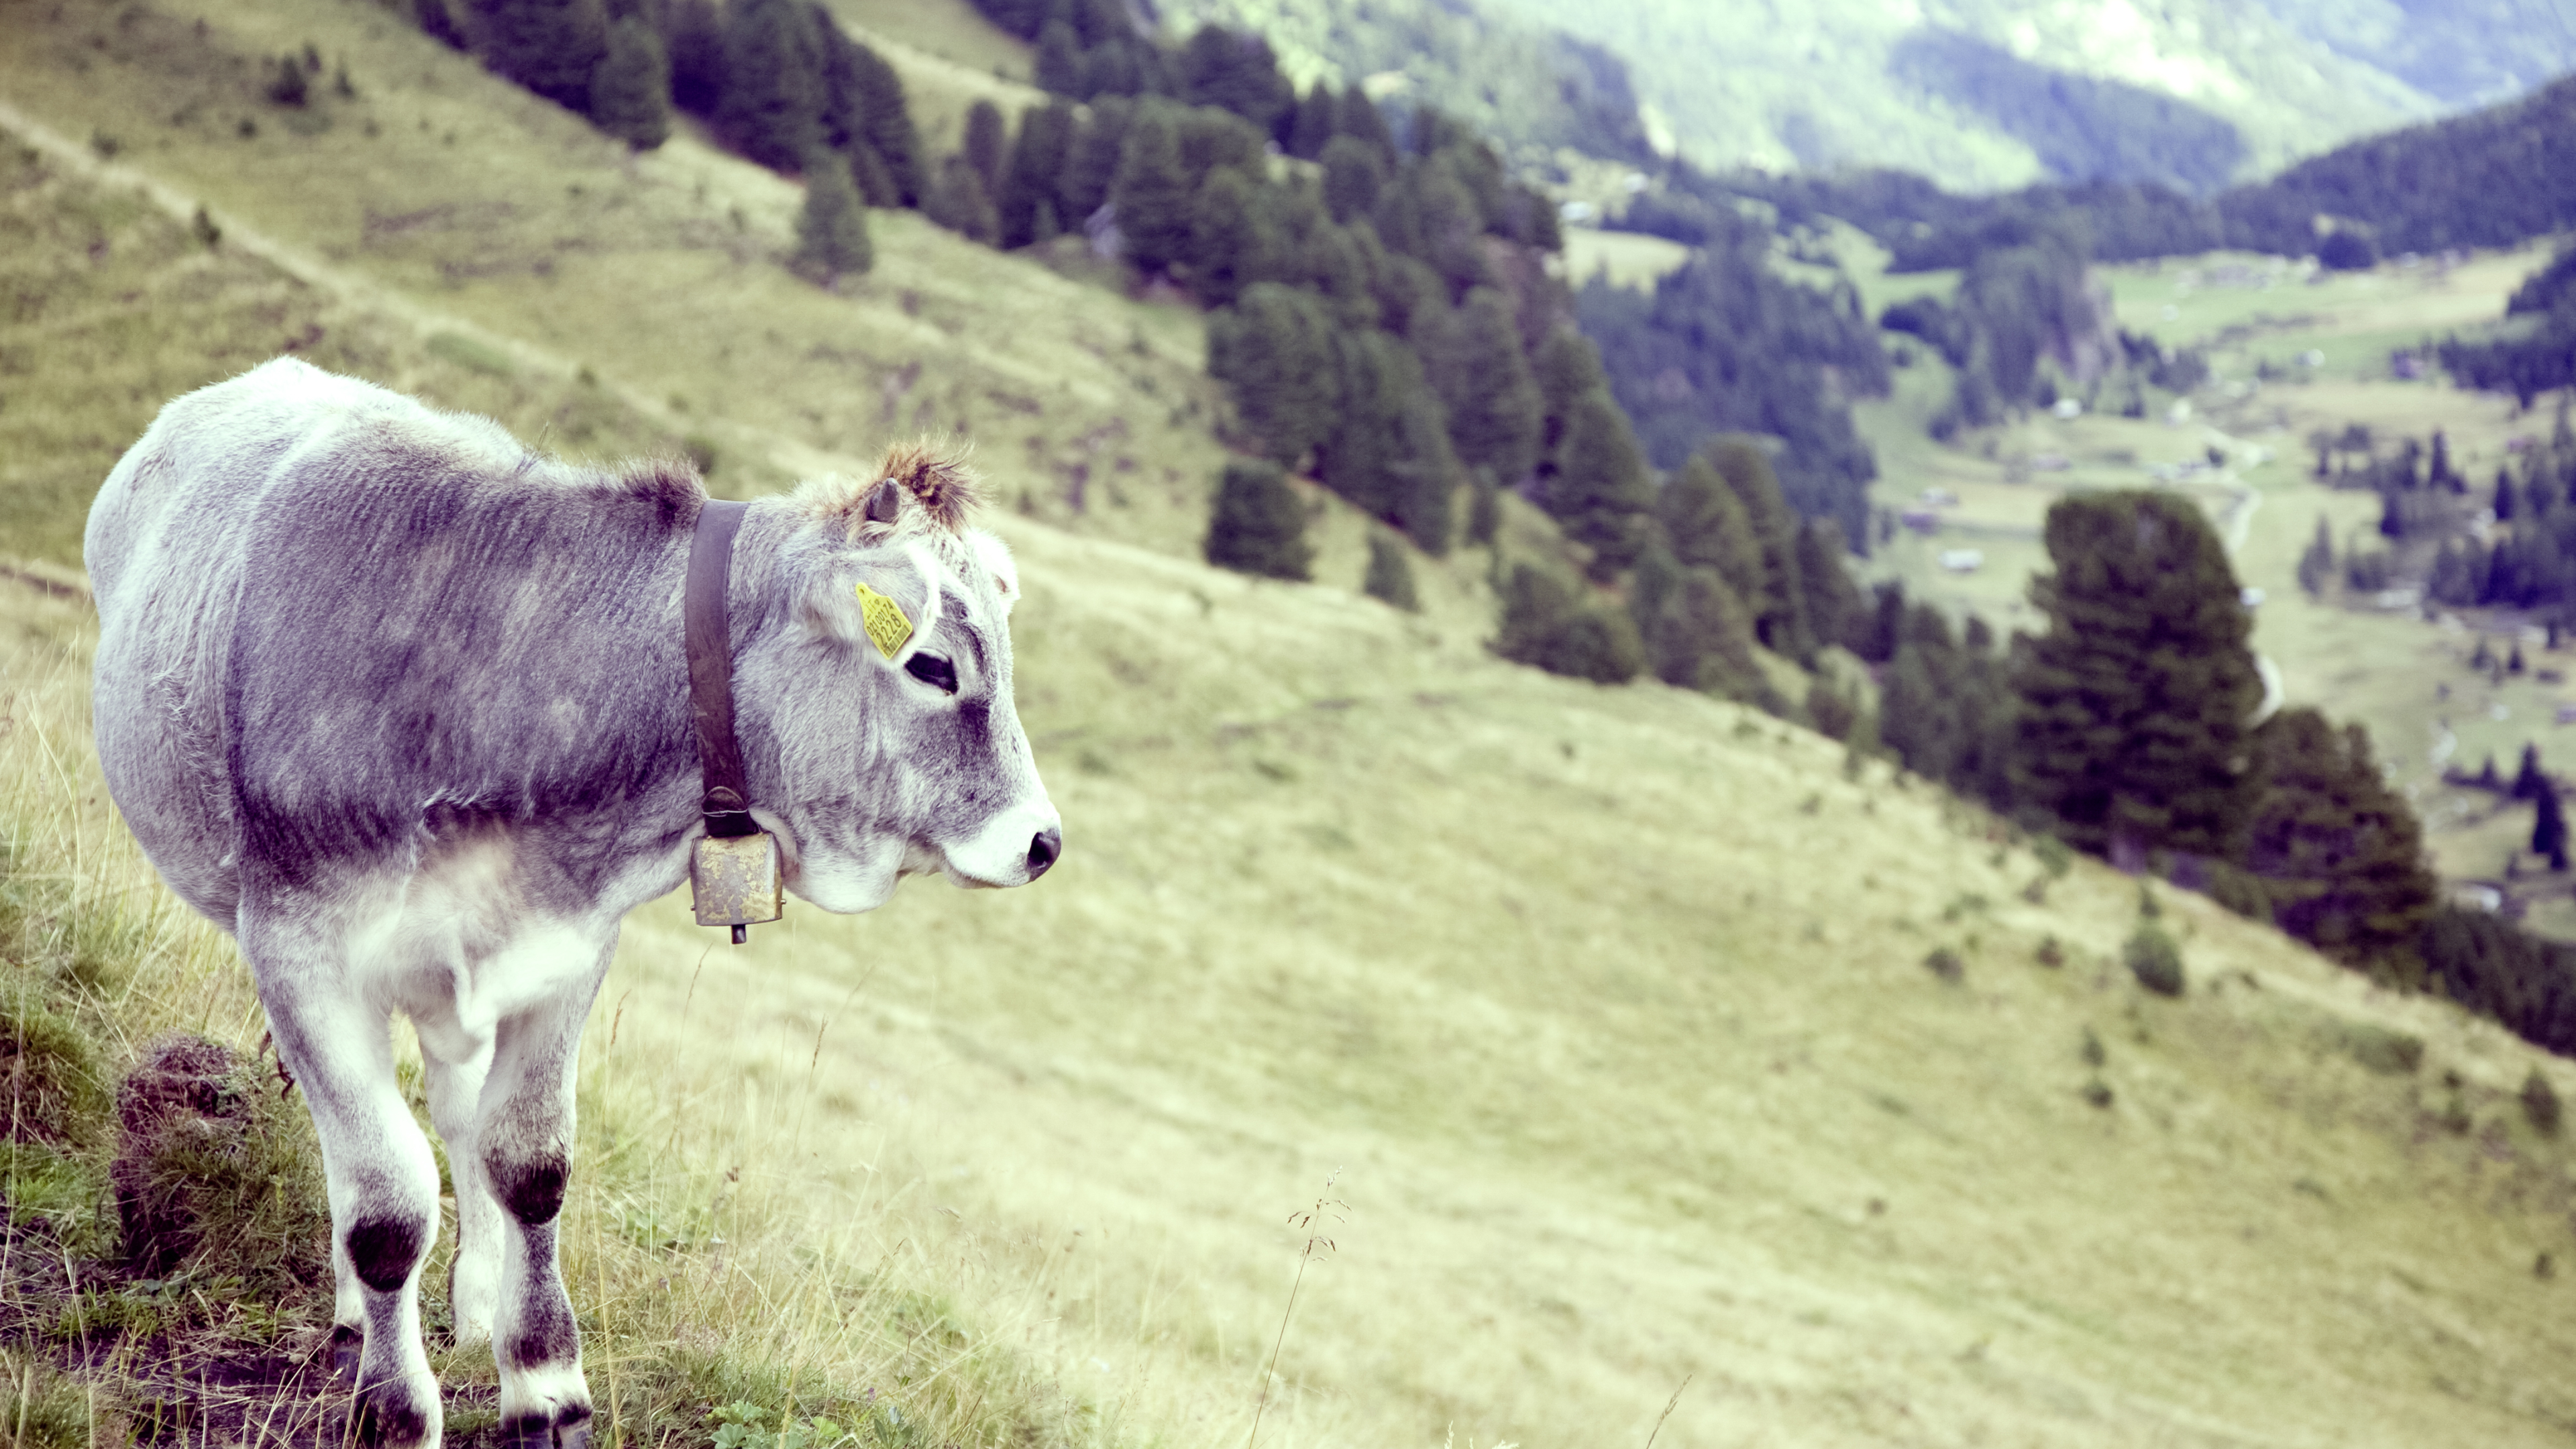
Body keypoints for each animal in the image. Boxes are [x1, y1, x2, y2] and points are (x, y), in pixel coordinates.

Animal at [83, 357, 1061, 1448]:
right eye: (932, 665)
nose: (1042, 840)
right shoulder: (301, 951)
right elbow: (385, 1206)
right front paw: (394, 1406)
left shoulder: (563, 950)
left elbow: (528, 1164)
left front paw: (544, 1384)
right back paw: (354, 1321)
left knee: (455, 1115)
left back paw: (472, 1302)